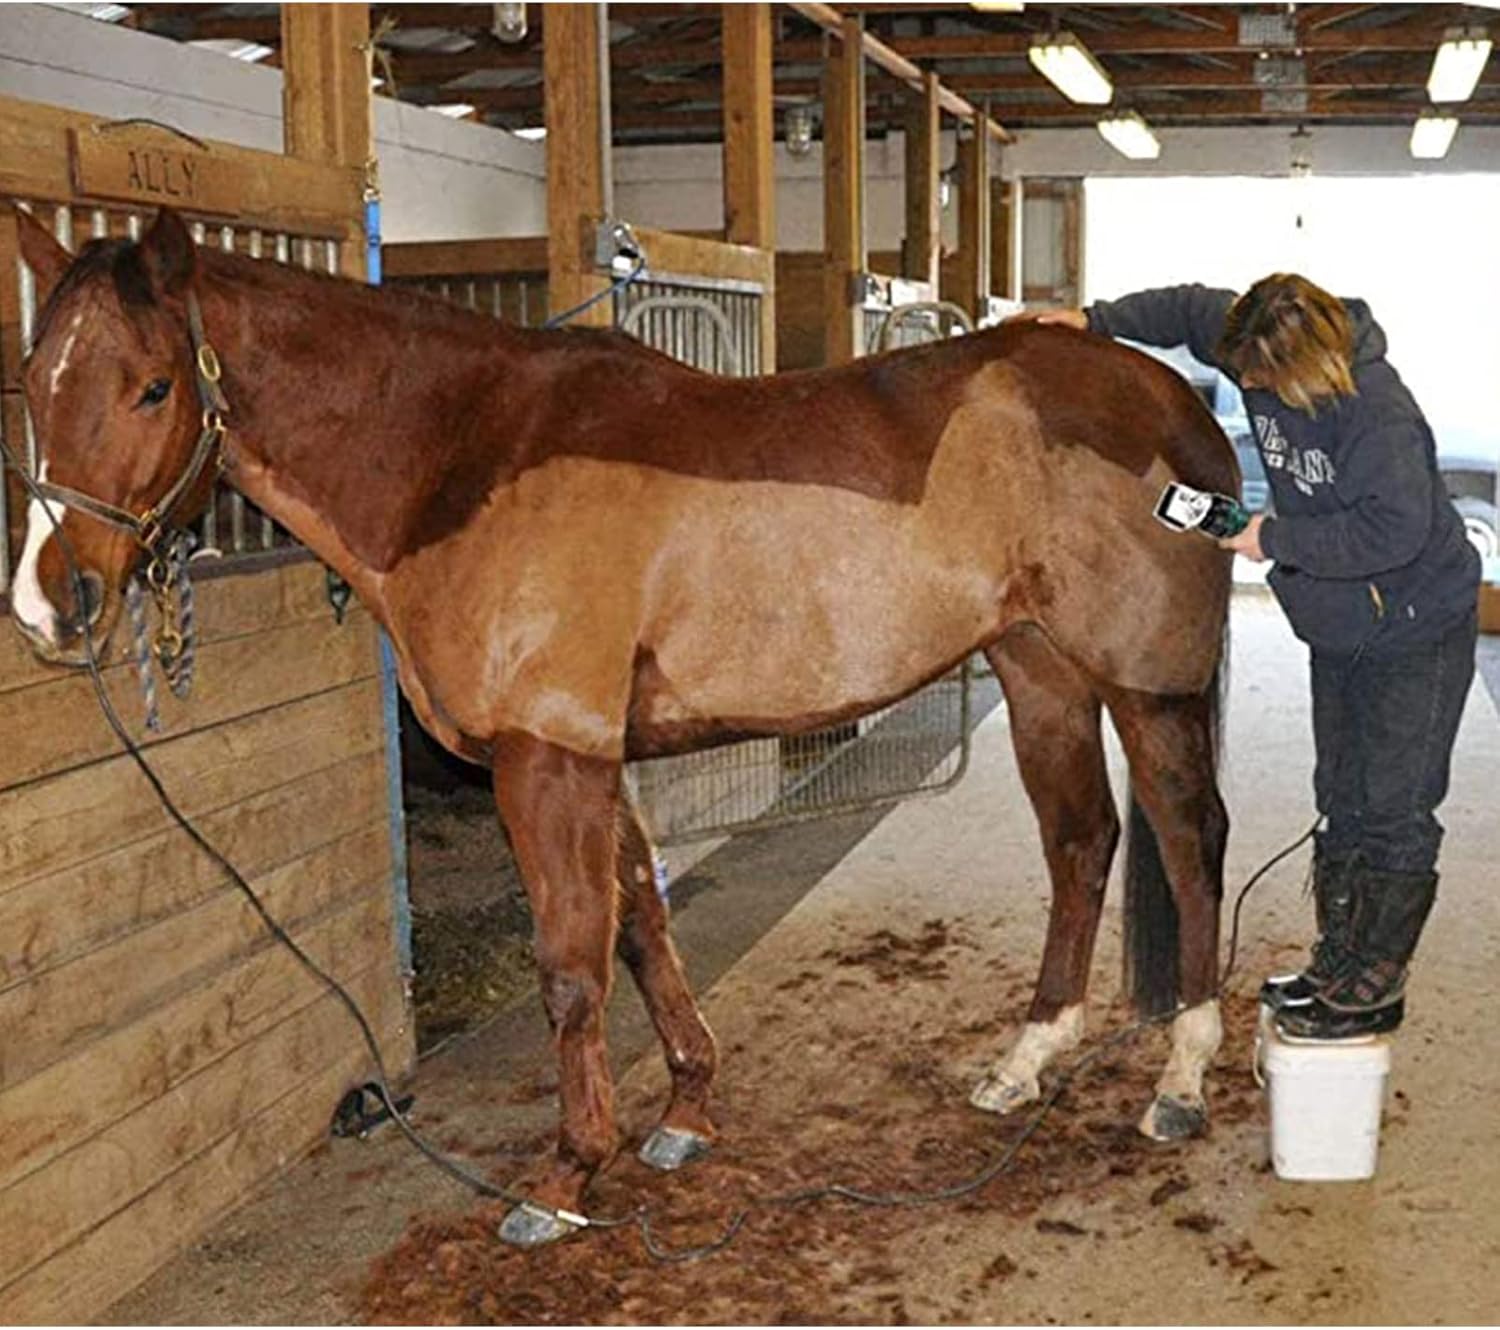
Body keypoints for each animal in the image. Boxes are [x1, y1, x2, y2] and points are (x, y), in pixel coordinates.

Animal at [12, 207, 1232, 1247]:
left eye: (153, 387)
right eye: (30, 380)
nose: (50, 604)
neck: (464, 458)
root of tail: (1179, 407)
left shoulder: (545, 758)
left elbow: (571, 964)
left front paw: (566, 1173)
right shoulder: (599, 758)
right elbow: (642, 923)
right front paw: (686, 1110)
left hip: (1147, 689)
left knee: (1189, 840)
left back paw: (1180, 1079)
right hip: (1040, 673)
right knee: (1081, 842)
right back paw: (1026, 1059)